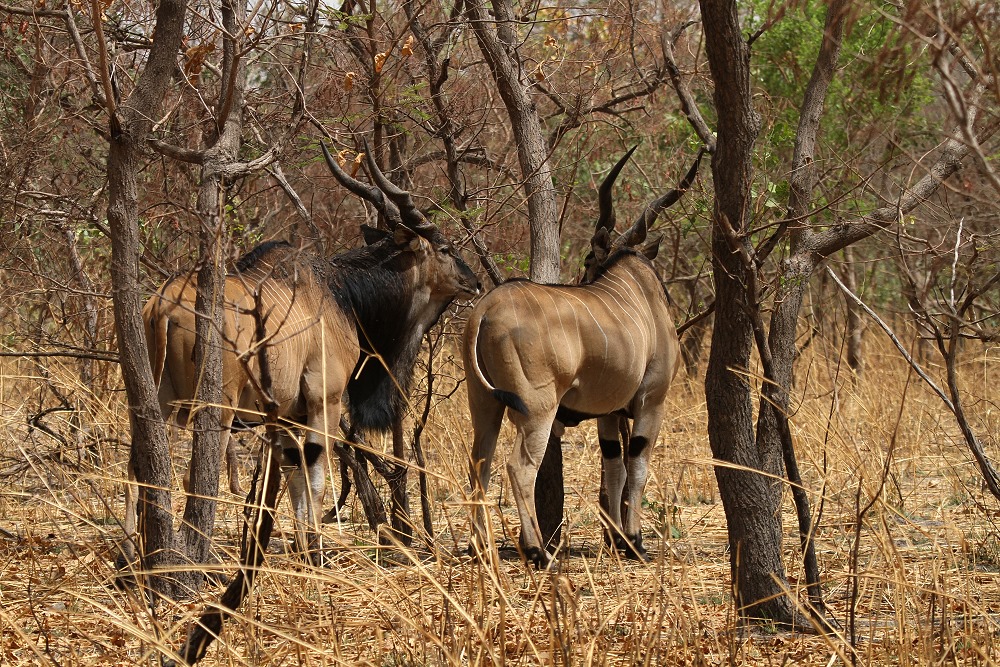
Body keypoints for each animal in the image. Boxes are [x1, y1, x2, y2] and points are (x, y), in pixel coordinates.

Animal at [131, 145, 482, 560]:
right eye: (445, 248)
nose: (475, 282)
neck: (340, 292)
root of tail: (163, 307)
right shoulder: (322, 401)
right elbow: (314, 478)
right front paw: (313, 552)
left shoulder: (287, 415)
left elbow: (294, 477)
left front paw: (303, 548)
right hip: (217, 408)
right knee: (194, 477)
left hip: (155, 400)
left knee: (140, 467)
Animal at [464, 147, 700, 568]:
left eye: (590, 259)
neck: (640, 290)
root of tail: (486, 308)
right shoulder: (651, 400)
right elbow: (638, 466)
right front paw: (635, 542)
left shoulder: (607, 414)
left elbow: (614, 468)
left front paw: (620, 540)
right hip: (537, 409)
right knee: (519, 468)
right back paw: (538, 552)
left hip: (484, 405)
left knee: (481, 463)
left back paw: (479, 548)